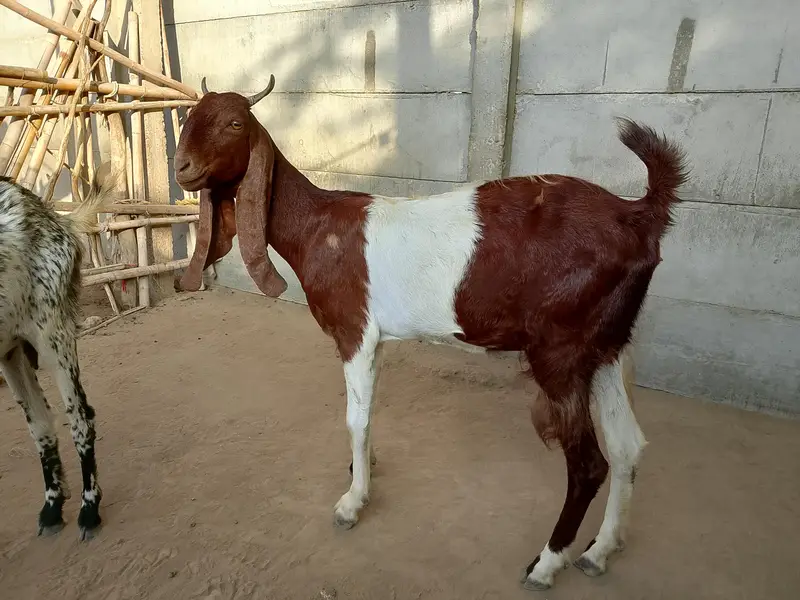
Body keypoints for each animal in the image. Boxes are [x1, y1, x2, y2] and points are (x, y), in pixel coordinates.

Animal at [0, 167, 115, 540]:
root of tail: (56, 219)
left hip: (53, 338)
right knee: (41, 424)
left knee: (80, 418)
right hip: (12, 351)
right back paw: (52, 507)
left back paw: (88, 509)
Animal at [174, 76, 688, 591]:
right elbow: (368, 416)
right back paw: (599, 551)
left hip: (560, 351)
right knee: (627, 446)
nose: (182, 168)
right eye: (187, 119)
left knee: (588, 465)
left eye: (234, 123)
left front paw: (352, 502)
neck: (320, 227)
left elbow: (354, 419)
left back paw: (546, 563)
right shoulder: (375, 339)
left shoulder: (354, 332)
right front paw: (362, 470)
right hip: (606, 347)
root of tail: (639, 215)